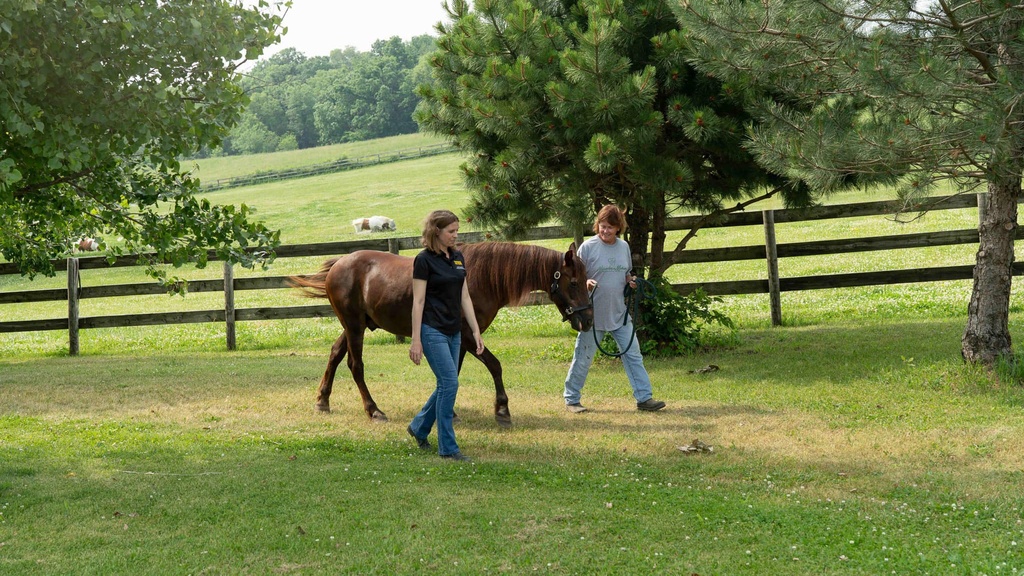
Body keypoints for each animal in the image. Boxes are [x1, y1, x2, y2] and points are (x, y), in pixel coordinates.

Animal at [289, 241, 594, 426]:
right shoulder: (469, 337)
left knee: (335, 355)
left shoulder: (459, 340)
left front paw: (448, 410)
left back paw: (322, 401)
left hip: (355, 325)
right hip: (354, 327)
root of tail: (340, 264)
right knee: (355, 366)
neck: (478, 278)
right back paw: (373, 409)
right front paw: (502, 409)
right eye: (574, 282)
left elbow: (453, 373)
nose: (588, 320)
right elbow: (495, 366)